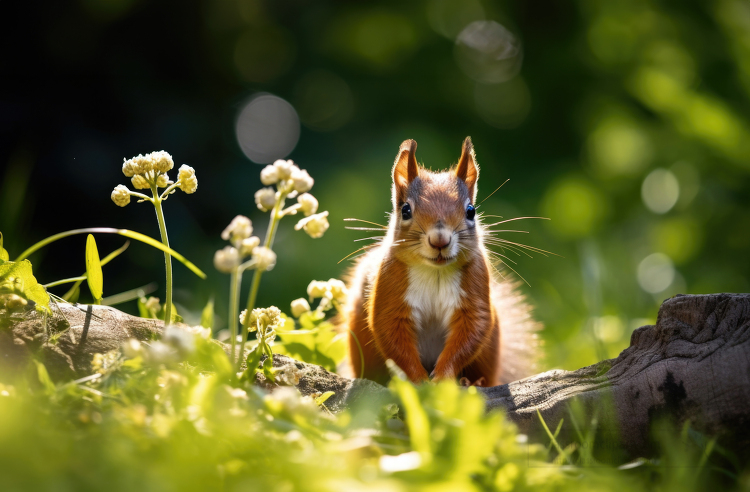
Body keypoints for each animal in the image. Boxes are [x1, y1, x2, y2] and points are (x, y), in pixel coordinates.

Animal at [340, 136, 540, 386]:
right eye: (405, 210)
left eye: (471, 211)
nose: (440, 240)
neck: (434, 271)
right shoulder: (390, 285)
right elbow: (392, 335)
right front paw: (419, 379)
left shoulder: (475, 283)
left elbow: (471, 331)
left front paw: (443, 377)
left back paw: (471, 382)